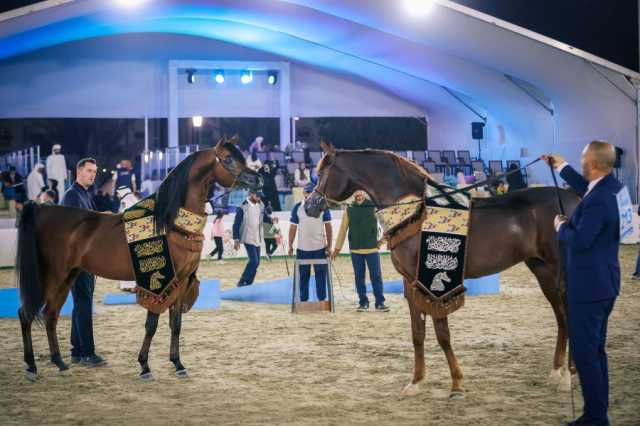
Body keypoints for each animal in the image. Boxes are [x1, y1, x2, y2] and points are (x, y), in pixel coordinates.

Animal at [17, 138, 262, 382]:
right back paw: (31, 367)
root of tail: (42, 210)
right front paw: (145, 366)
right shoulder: (157, 284)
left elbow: (176, 324)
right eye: (228, 159)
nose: (257, 179)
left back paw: (59, 362)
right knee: (27, 313)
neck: (170, 222)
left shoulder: (180, 282)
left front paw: (178, 364)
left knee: (51, 315)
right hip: (51, 276)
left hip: (68, 276)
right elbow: (151, 324)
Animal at [304, 141, 580, 398]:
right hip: (542, 271)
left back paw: (568, 377)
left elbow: (442, 334)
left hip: (562, 272)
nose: (309, 206)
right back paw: (558, 372)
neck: (414, 211)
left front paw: (457, 384)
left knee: (569, 315)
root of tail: (574, 199)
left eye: (324, 171)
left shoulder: (434, 285)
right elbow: (417, 333)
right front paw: (416, 382)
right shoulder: (411, 283)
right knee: (561, 317)